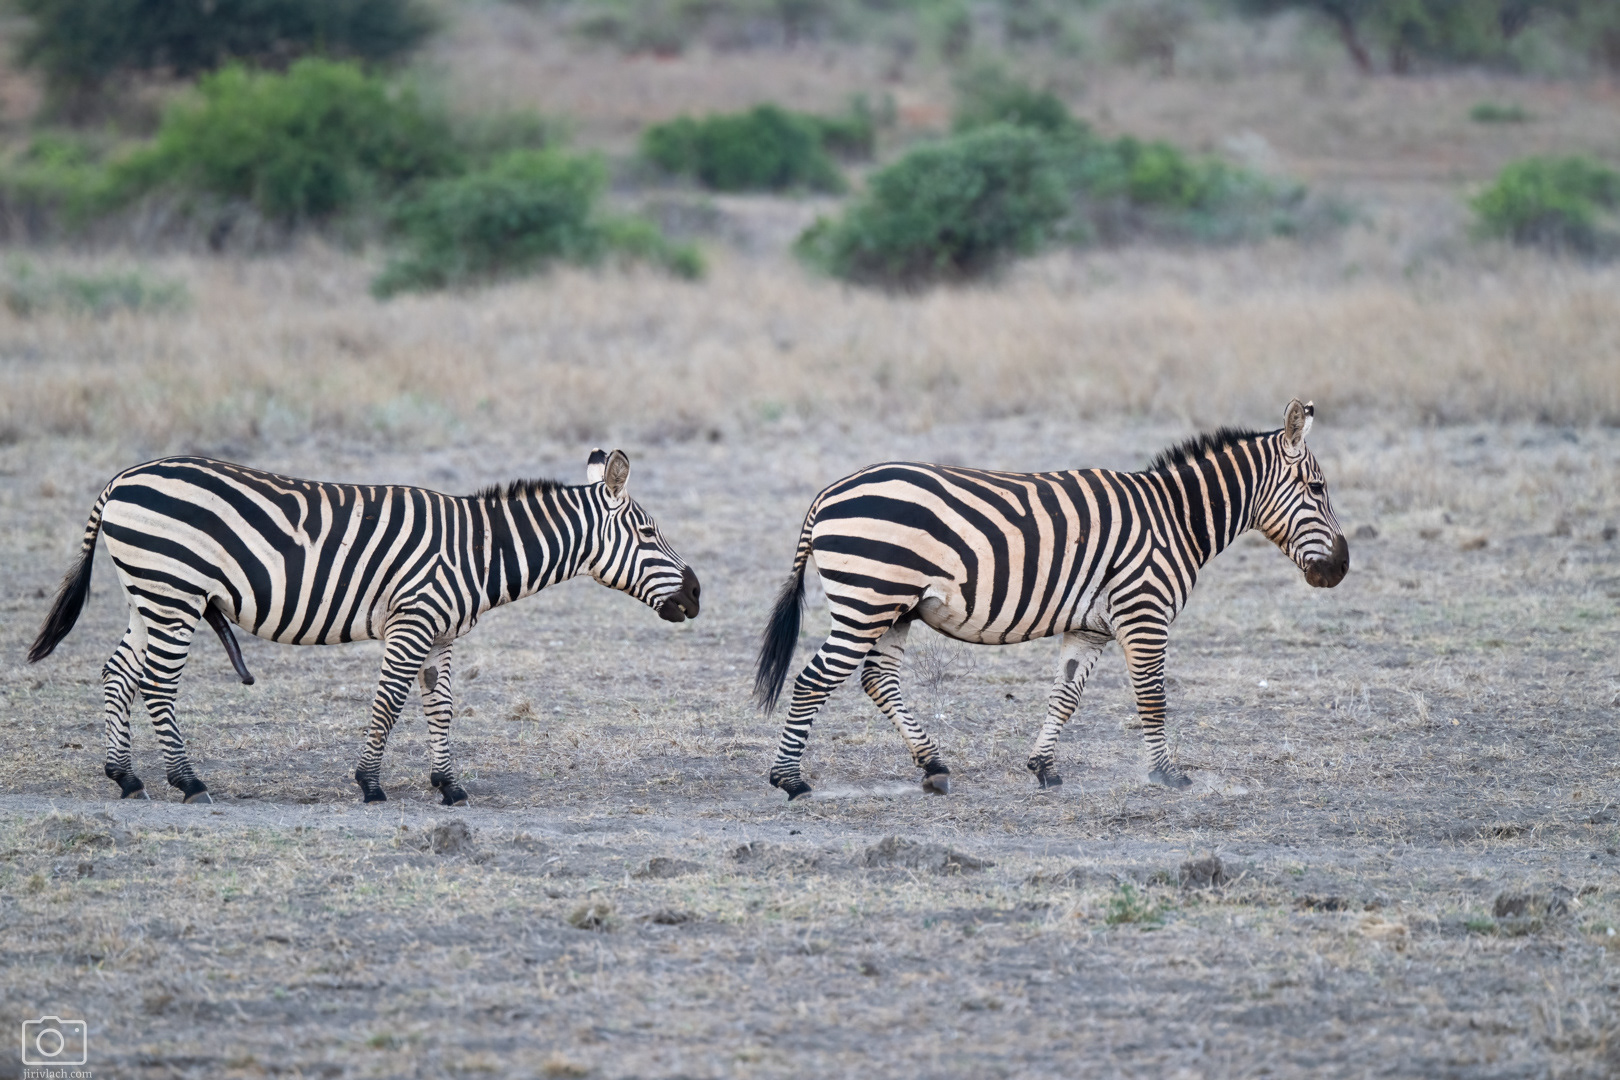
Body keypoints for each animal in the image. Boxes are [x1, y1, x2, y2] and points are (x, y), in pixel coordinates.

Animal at [28, 449, 700, 805]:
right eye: (648, 533)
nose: (696, 594)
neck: (478, 552)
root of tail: (123, 477)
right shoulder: (413, 620)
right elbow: (389, 703)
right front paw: (370, 784)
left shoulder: (442, 632)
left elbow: (441, 707)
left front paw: (448, 785)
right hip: (174, 590)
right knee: (158, 683)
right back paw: (188, 781)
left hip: (151, 594)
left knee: (119, 672)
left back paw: (124, 775)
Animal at [754, 400, 1348, 800]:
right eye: (1318, 490)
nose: (1341, 569)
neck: (1175, 518)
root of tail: (829, 492)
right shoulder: (1144, 612)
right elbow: (1152, 697)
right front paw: (1167, 774)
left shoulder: (1090, 626)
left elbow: (1065, 696)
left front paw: (1043, 767)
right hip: (868, 600)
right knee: (813, 679)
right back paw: (790, 779)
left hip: (896, 608)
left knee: (878, 679)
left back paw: (933, 766)